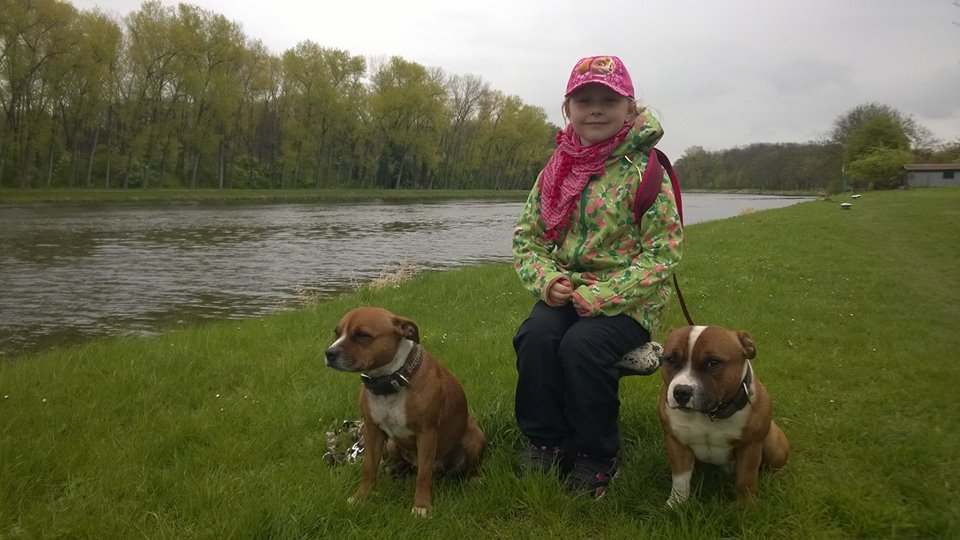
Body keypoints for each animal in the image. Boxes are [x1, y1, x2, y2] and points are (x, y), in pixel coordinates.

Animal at [324, 306, 486, 516]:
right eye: (337, 333)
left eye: (361, 335)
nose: (329, 353)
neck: (390, 380)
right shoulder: (372, 430)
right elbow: (369, 467)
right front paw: (361, 497)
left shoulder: (426, 433)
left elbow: (423, 475)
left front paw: (422, 506)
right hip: (392, 444)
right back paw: (395, 471)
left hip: (474, 438)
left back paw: (475, 478)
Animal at [658, 325, 789, 506]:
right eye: (671, 360)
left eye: (713, 362)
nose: (681, 392)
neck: (709, 414)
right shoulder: (676, 442)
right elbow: (680, 478)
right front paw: (676, 503)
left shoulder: (750, 446)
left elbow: (746, 479)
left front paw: (745, 507)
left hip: (773, 443)